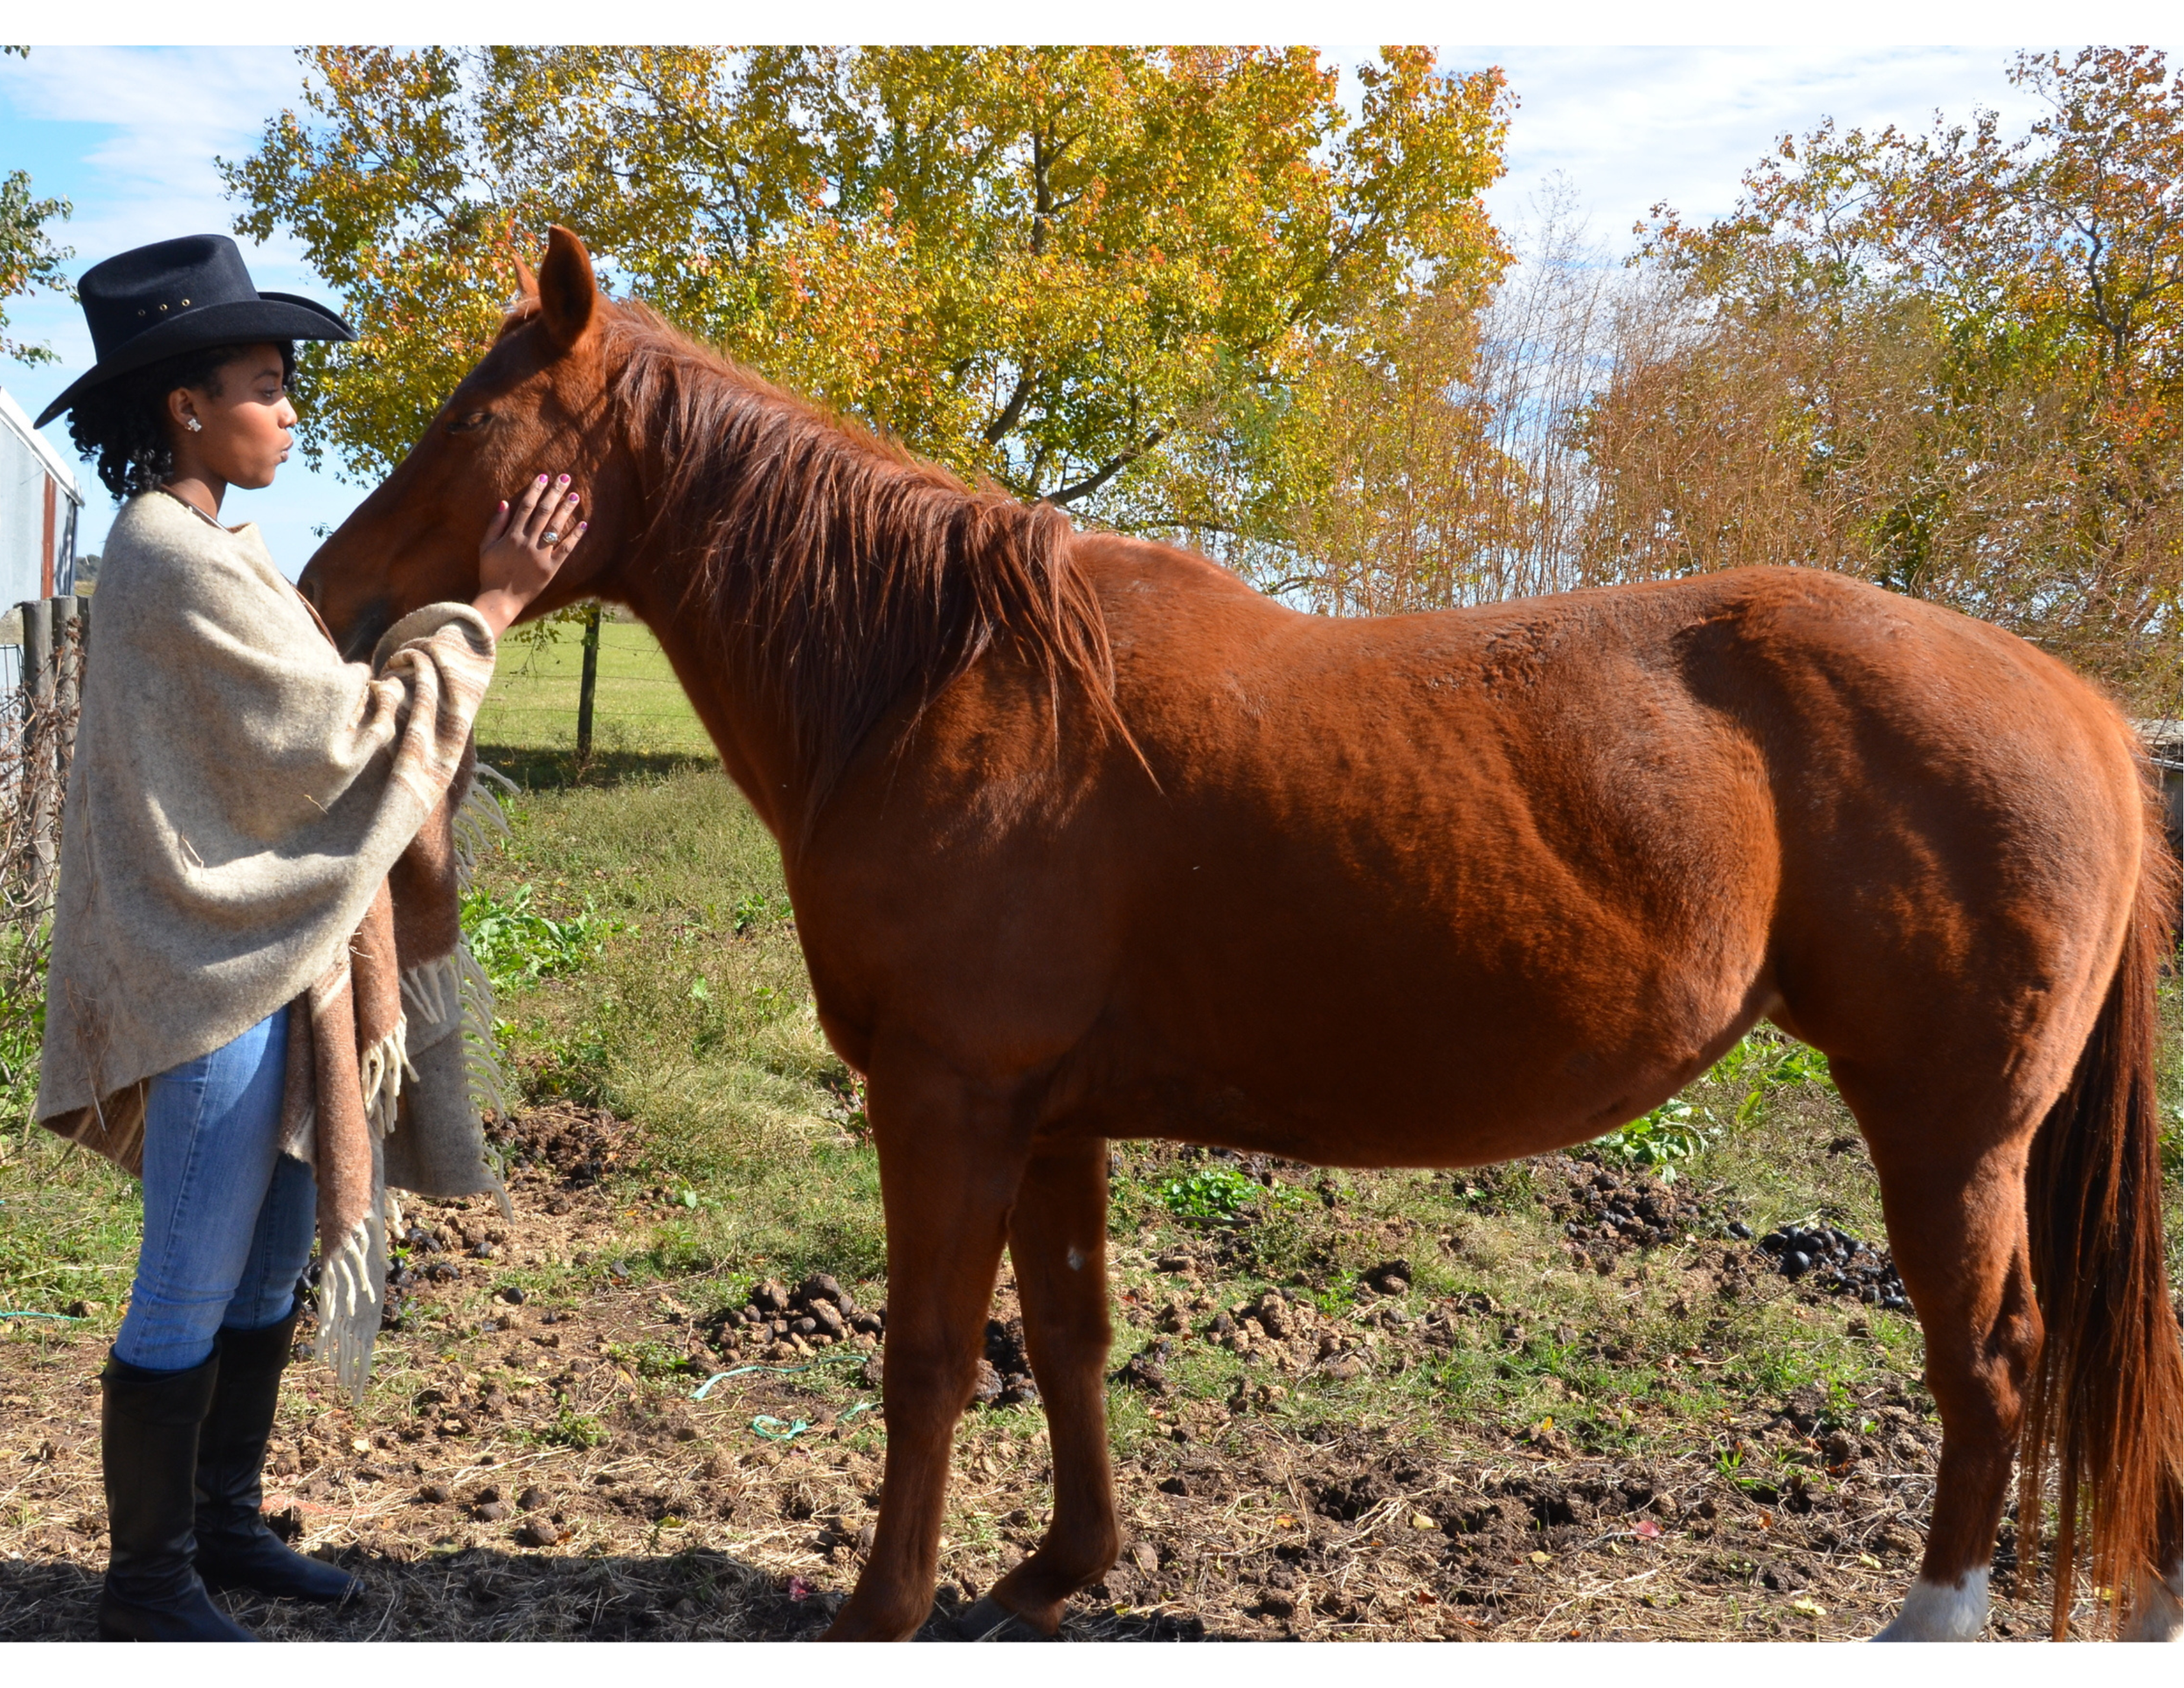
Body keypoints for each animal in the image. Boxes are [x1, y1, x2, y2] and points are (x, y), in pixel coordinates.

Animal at [301, 228, 2181, 1643]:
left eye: (475, 416)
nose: (322, 601)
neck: (936, 680)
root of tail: (2080, 709)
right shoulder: (1045, 1118)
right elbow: (1065, 1340)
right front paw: (1053, 1572)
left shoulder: (945, 1102)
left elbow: (925, 1361)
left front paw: (879, 1609)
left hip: (1947, 1133)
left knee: (1989, 1365)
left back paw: (1927, 1616)